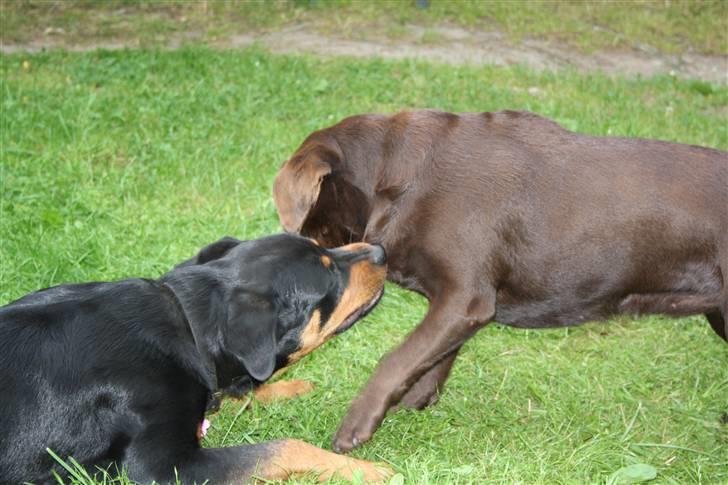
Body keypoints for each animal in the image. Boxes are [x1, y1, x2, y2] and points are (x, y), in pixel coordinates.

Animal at [0, 233, 392, 480]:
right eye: (330, 274)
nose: (381, 251)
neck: (188, 329)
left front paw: (290, 388)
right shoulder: (161, 466)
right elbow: (285, 448)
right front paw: (369, 470)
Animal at [272, 109, 728, 454]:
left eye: (311, 230)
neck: (399, 180)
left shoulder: (465, 298)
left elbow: (397, 358)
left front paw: (357, 424)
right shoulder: (461, 304)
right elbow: (434, 356)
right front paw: (414, 401)